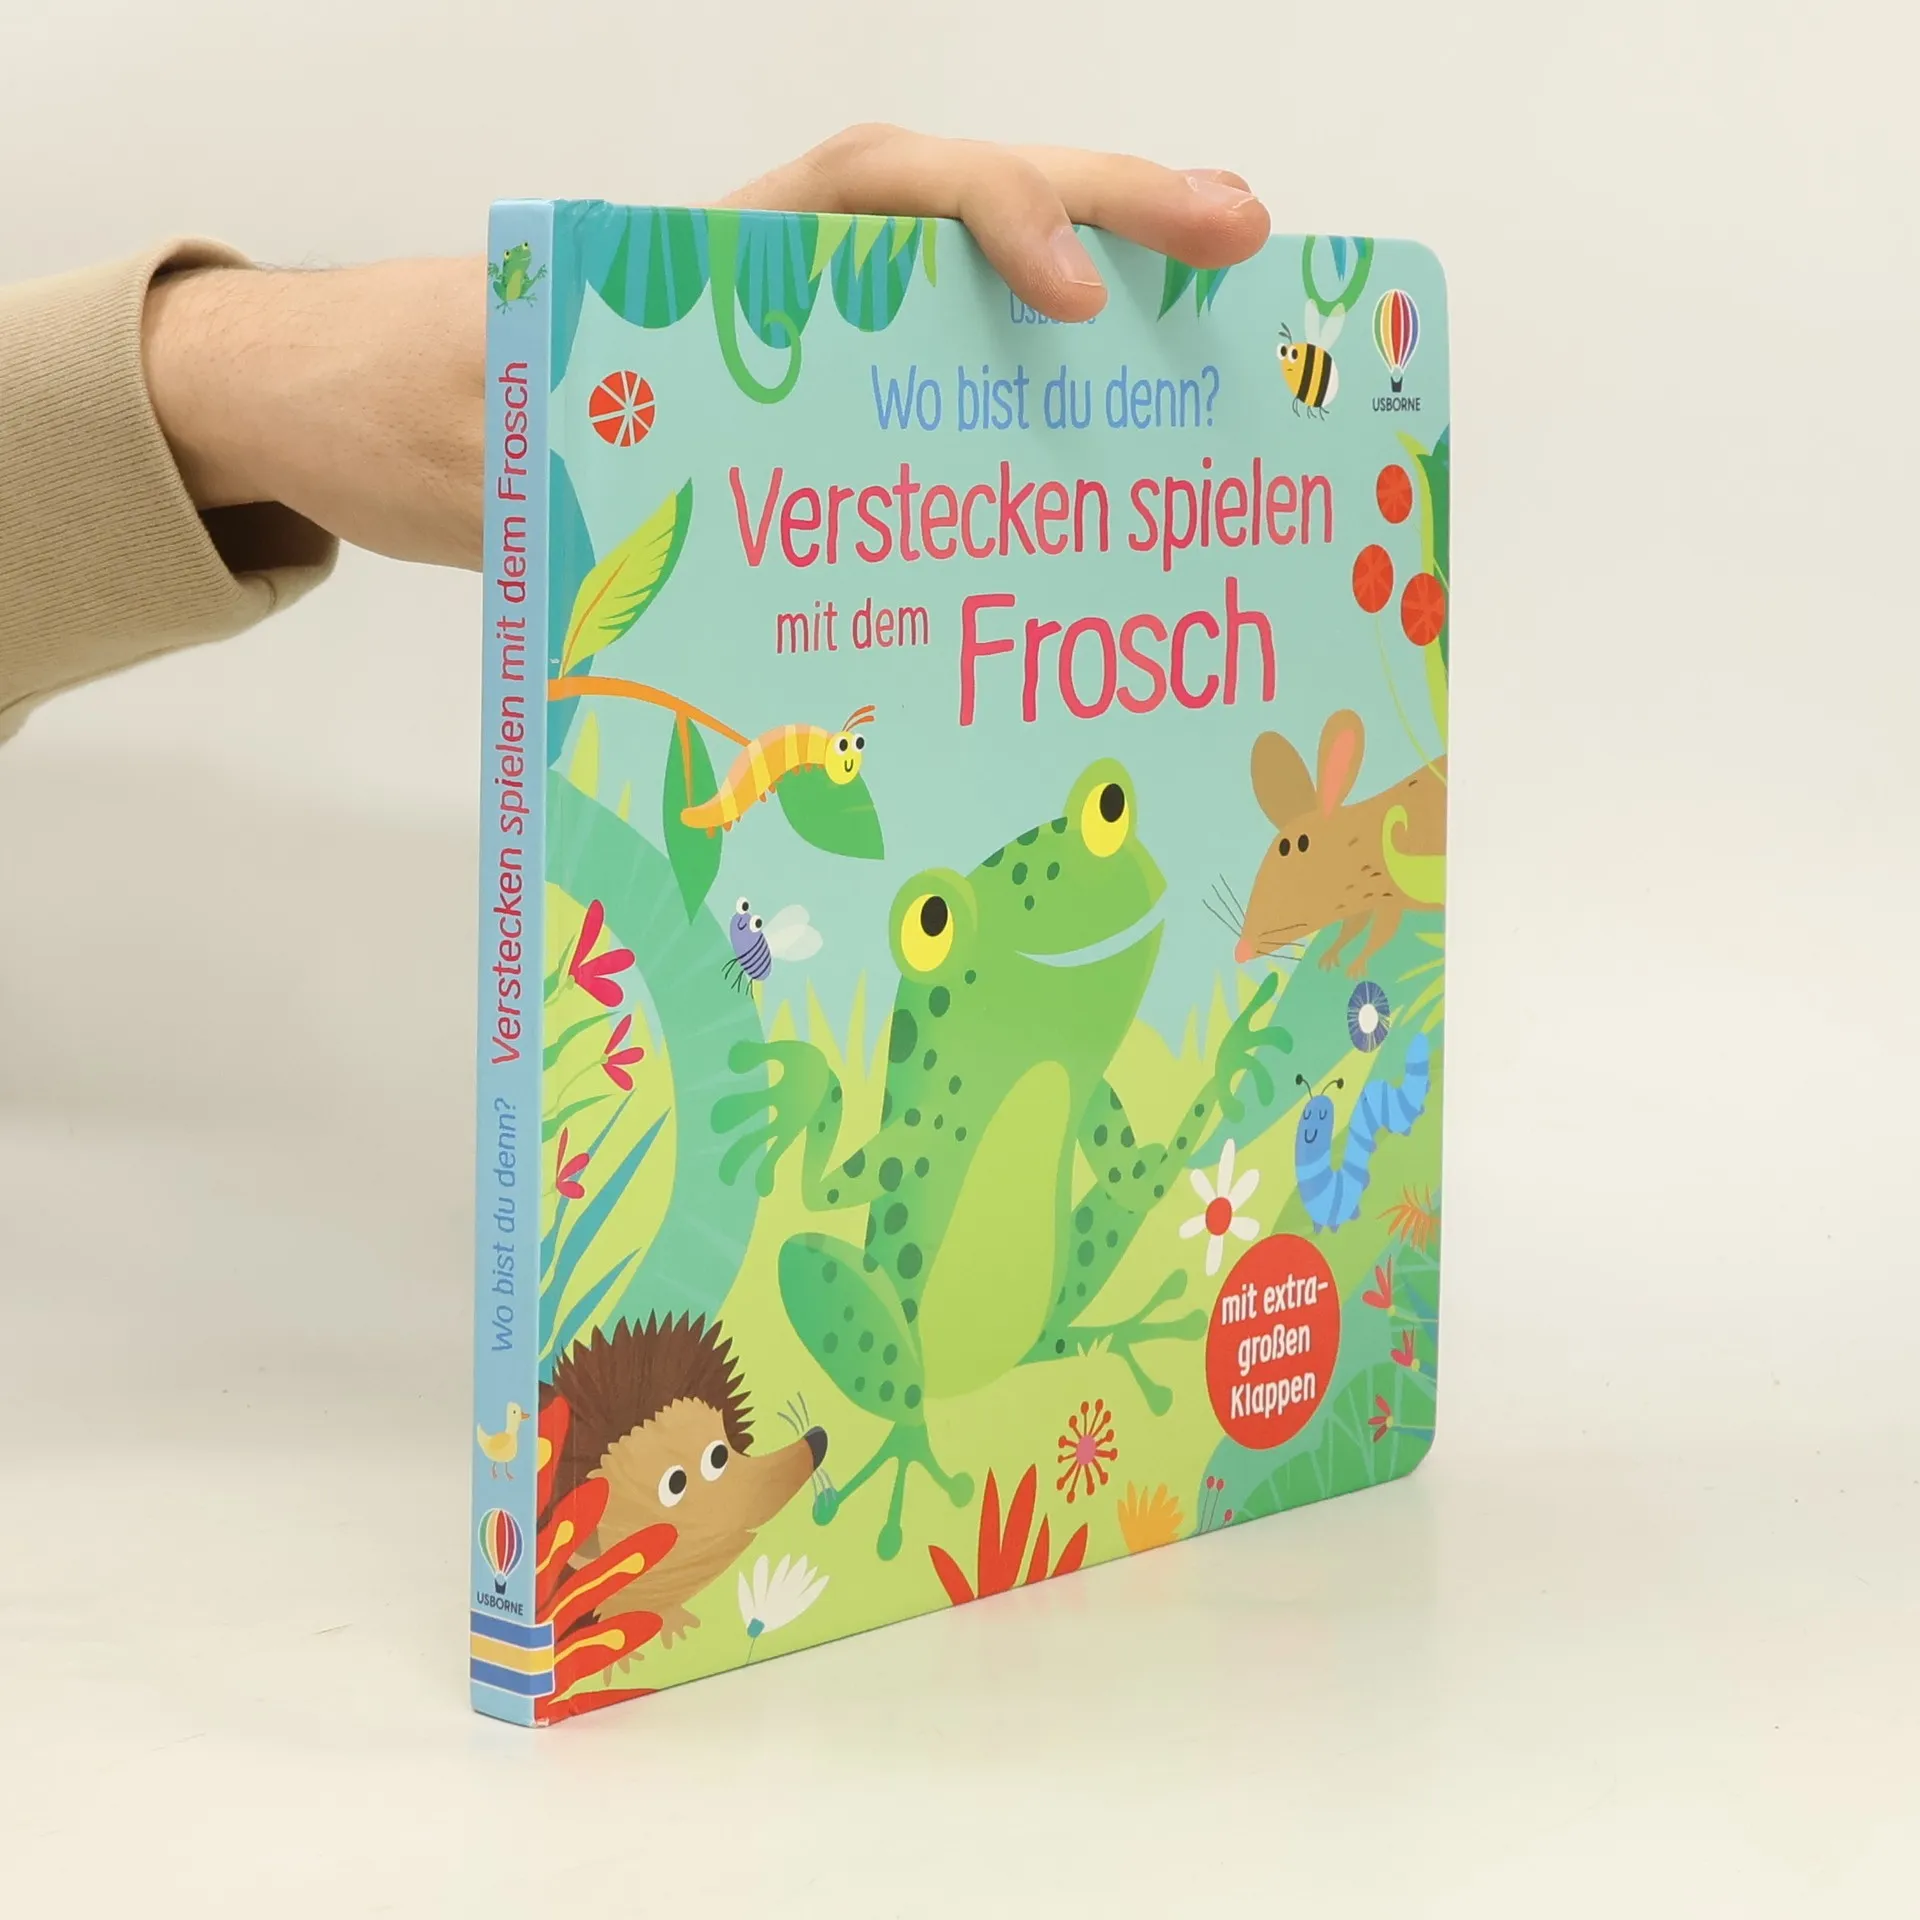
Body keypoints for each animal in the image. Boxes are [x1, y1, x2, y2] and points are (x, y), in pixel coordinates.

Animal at [1233, 709, 1446, 977]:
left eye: (1298, 844)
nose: (1240, 951)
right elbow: (1352, 926)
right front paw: (1331, 954)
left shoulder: (1388, 893)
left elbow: (1382, 932)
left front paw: (1357, 963)